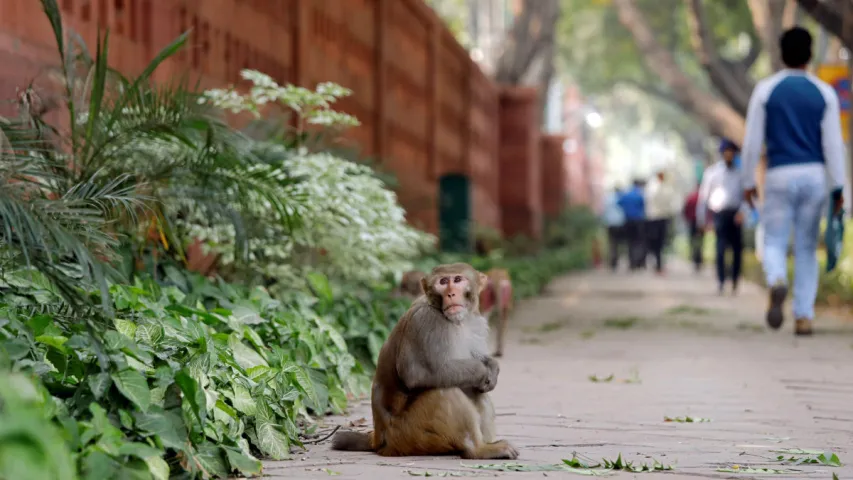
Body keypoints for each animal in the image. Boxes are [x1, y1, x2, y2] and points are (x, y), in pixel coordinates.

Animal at [332, 264, 520, 460]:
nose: (451, 294)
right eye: (443, 281)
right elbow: (417, 374)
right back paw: (477, 449)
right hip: (410, 435)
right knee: (445, 391)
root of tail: (378, 438)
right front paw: (482, 371)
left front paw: (492, 367)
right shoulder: (426, 321)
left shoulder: (475, 322)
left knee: (475, 393)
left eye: (458, 280)